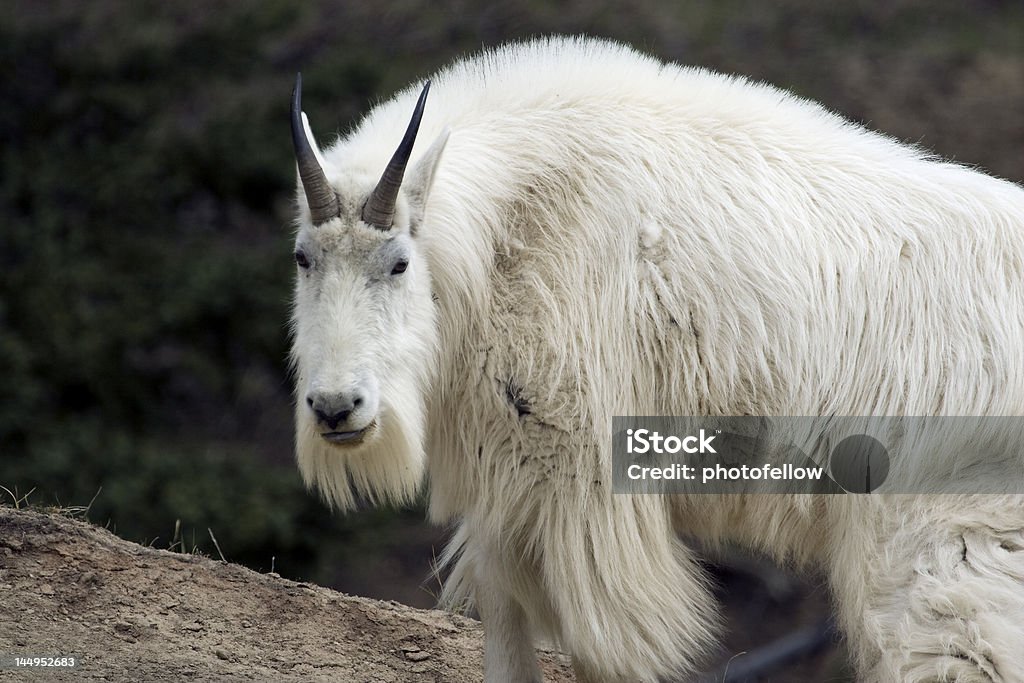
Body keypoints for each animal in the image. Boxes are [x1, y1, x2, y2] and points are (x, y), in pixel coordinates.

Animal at [286, 37, 1024, 683]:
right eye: (303, 257)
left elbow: (600, 646)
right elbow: (503, 622)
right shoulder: (505, 476)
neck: (509, 229)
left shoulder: (580, 482)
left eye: (398, 262)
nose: (337, 408)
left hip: (938, 530)